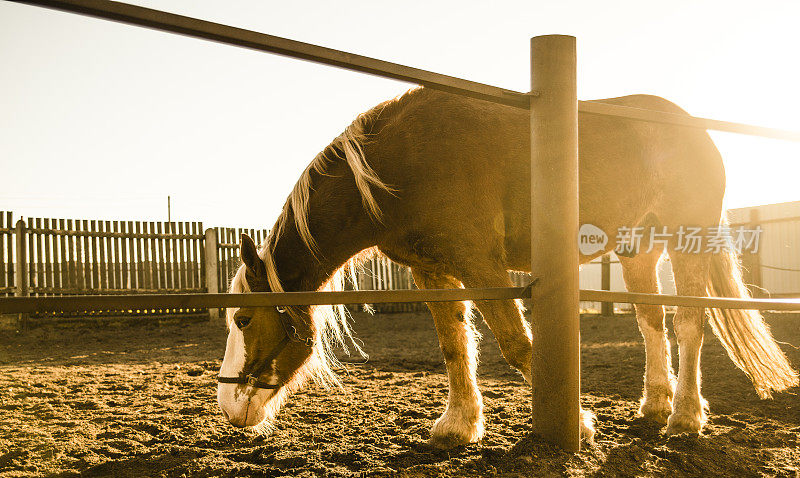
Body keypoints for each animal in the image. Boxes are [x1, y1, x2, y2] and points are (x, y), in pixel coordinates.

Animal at [212, 87, 792, 448]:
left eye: (243, 319)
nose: (229, 407)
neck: (400, 166)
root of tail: (693, 128)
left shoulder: (481, 264)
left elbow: (516, 344)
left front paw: (578, 425)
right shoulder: (435, 273)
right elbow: (454, 346)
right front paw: (458, 425)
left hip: (682, 238)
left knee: (691, 323)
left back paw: (685, 418)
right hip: (639, 251)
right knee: (652, 324)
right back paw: (654, 406)